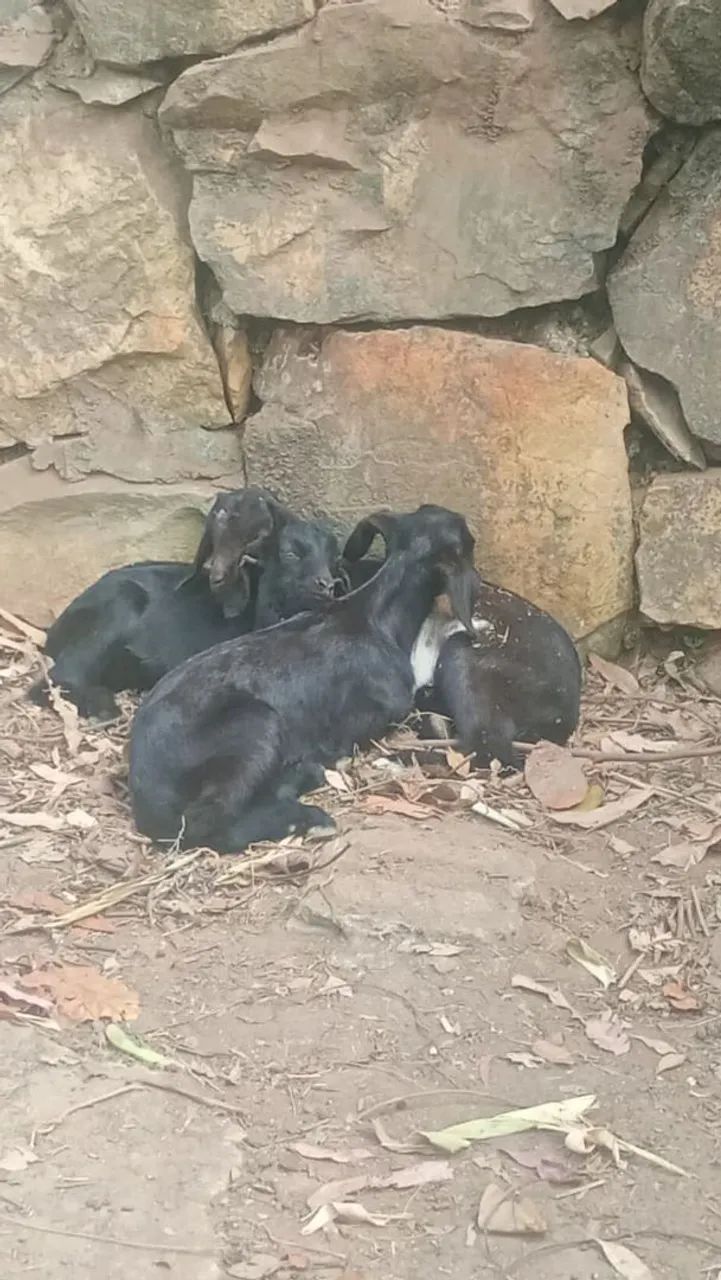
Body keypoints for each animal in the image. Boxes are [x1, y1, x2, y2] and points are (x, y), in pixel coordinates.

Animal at [28, 488, 345, 722]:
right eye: (290, 553)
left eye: (333, 557)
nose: (325, 585)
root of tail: (53, 634)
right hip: (119, 605)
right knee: (51, 681)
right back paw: (103, 707)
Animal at [128, 504, 478, 854]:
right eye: (470, 542)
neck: (374, 617)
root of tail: (144, 786)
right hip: (256, 724)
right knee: (207, 820)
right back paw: (307, 817)